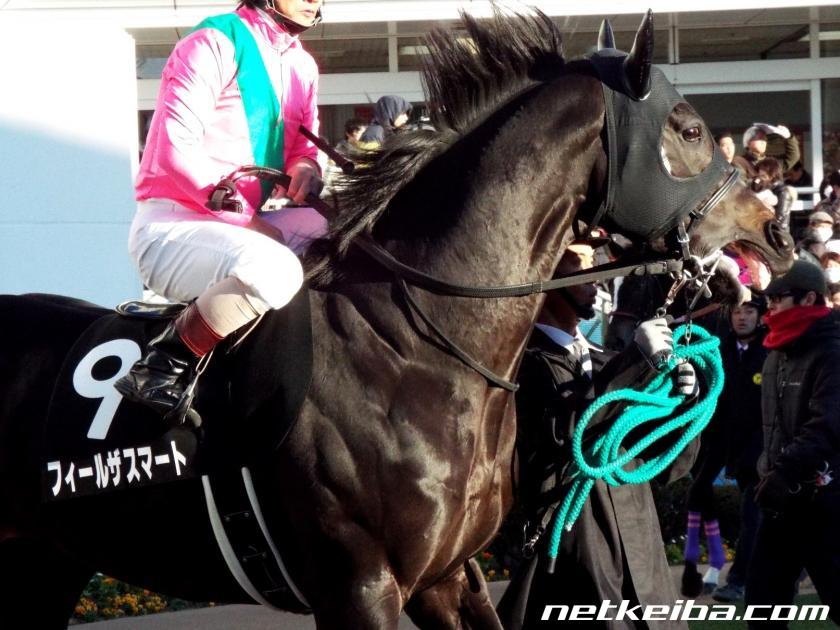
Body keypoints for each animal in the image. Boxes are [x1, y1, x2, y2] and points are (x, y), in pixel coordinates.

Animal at [0, 9, 792, 630]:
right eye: (688, 129)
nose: (774, 230)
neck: (413, 347)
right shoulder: (360, 587)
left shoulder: (449, 576)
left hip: (45, 560)